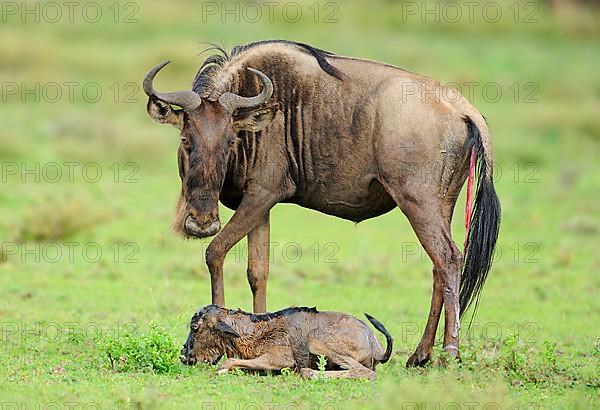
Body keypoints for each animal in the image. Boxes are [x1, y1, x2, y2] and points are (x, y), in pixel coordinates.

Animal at [180, 304, 392, 378]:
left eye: (195, 327)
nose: (183, 355)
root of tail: (374, 342)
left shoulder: (282, 359)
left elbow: (230, 361)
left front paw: (222, 369)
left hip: (317, 342)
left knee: (365, 372)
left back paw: (309, 373)